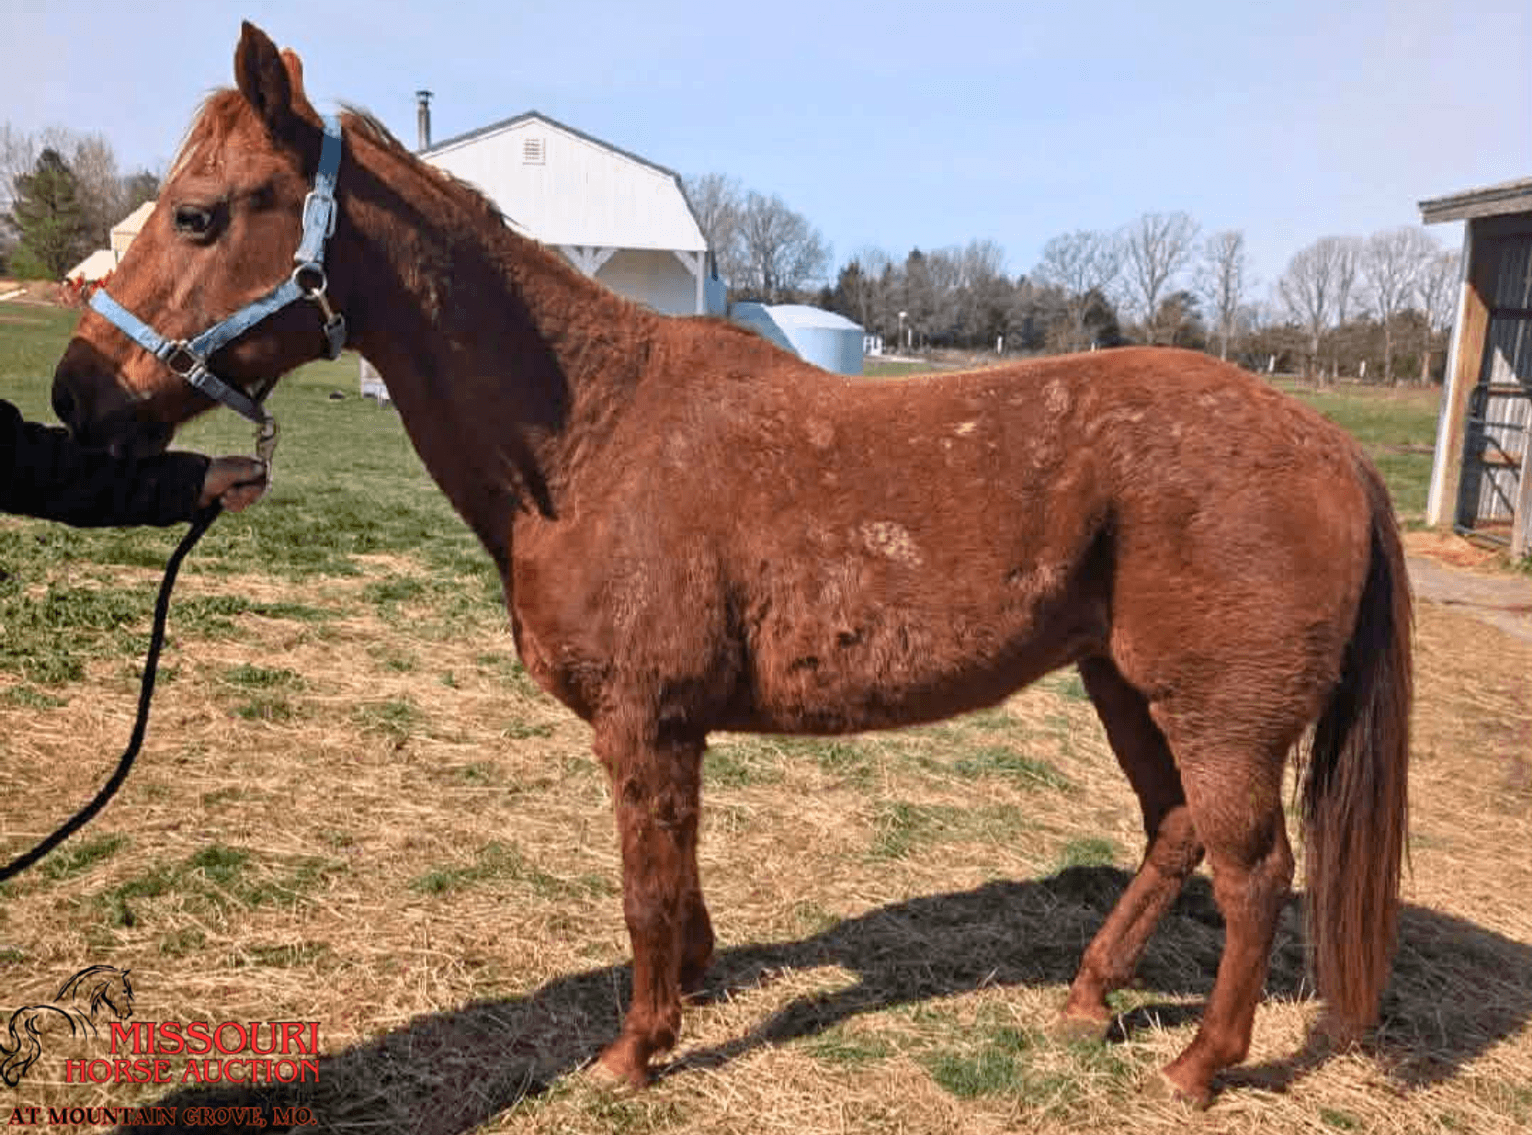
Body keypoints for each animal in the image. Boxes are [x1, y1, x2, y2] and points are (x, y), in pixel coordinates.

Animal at [50, 22, 1410, 1106]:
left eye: (200, 213)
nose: (75, 396)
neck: (593, 433)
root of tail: (1329, 446)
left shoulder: (643, 720)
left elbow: (644, 886)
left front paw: (631, 1050)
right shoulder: (671, 729)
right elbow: (677, 870)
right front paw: (691, 990)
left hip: (1218, 716)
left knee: (1252, 870)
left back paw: (1196, 1065)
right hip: (1122, 685)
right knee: (1173, 834)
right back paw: (1085, 1001)